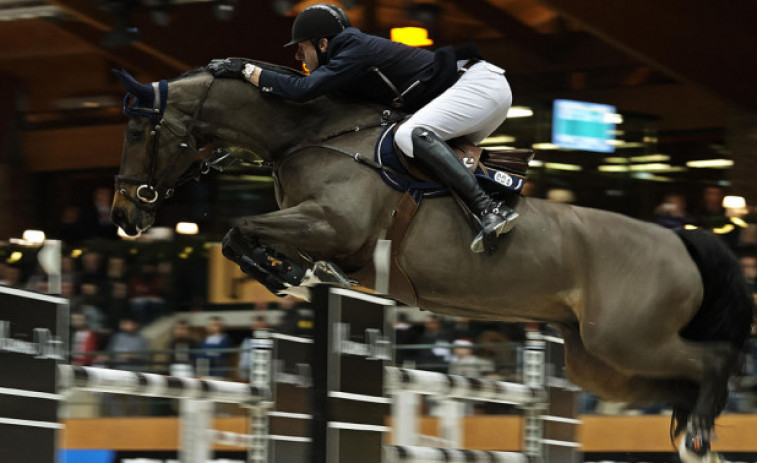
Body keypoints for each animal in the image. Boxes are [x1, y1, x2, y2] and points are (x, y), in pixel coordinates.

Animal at [109, 63, 752, 462]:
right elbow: (243, 238)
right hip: (600, 361)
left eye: (139, 131)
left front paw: (285, 274)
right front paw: (288, 273)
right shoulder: (317, 230)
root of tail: (681, 237)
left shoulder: (333, 226)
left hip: (626, 339)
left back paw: (697, 437)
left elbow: (237, 231)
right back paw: (692, 434)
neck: (312, 133)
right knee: (681, 379)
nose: (123, 214)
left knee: (713, 361)